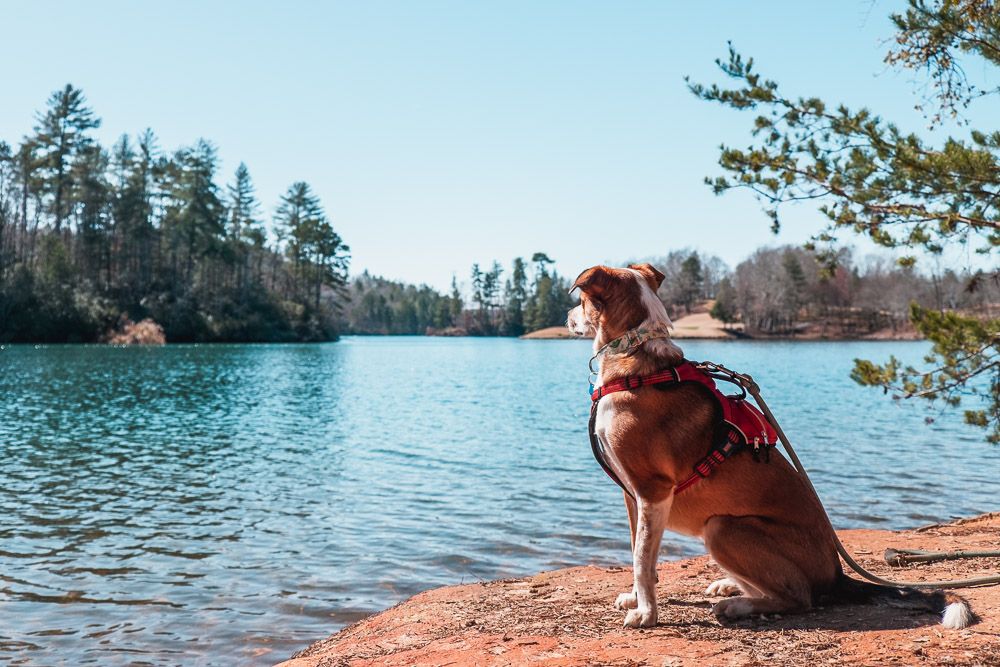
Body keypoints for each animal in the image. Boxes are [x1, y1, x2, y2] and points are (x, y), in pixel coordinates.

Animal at [568, 262, 972, 632]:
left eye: (581, 300)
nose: (567, 316)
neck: (635, 359)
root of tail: (837, 574)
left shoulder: (653, 491)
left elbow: (642, 559)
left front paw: (647, 614)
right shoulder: (633, 496)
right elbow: (638, 551)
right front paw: (636, 599)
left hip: (723, 528)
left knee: (800, 597)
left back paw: (738, 605)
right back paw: (731, 587)